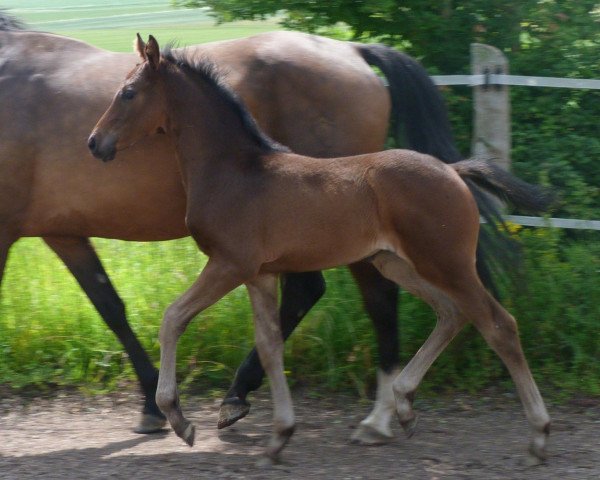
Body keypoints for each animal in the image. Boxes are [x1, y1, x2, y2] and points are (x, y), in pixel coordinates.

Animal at [1, 12, 478, 438]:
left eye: (129, 93)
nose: (94, 143)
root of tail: (352, 51)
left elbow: (161, 316)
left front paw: (167, 409)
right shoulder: (63, 231)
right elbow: (110, 305)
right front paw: (155, 407)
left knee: (377, 299)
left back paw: (375, 417)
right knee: (316, 296)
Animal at [86, 35, 552, 464]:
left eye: (129, 92)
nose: (94, 142)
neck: (234, 171)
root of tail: (453, 171)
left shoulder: (229, 264)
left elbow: (173, 319)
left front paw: (180, 420)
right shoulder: (260, 273)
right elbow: (270, 345)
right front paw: (278, 436)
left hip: (446, 262)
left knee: (498, 324)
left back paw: (538, 434)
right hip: (396, 263)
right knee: (451, 313)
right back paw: (403, 405)